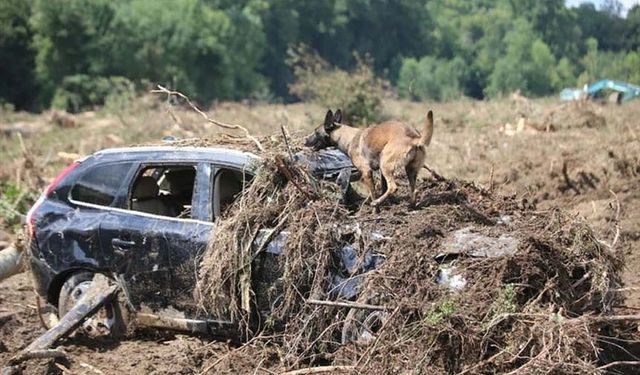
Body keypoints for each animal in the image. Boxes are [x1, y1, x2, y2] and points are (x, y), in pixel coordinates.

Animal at [304, 110, 436, 207]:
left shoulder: (366, 172)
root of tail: (414, 138)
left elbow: (373, 193)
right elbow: (382, 188)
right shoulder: (376, 172)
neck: (347, 137)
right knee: (414, 190)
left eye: (316, 132)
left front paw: (376, 210)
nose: (305, 140)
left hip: (385, 164)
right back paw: (411, 205)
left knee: (393, 187)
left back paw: (376, 203)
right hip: (409, 170)